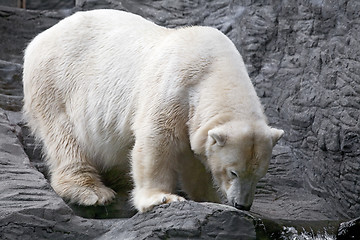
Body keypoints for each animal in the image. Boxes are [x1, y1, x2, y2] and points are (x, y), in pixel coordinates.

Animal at [23, 8, 284, 212]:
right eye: (233, 172)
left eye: (259, 174)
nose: (243, 205)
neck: (215, 69)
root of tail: (39, 38)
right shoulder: (175, 85)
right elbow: (157, 138)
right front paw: (162, 198)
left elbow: (194, 155)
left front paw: (209, 198)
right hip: (56, 84)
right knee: (65, 138)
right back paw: (91, 191)